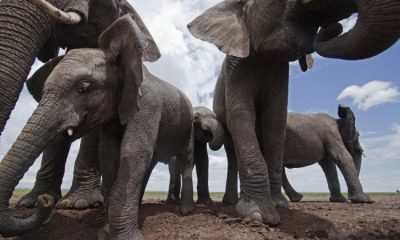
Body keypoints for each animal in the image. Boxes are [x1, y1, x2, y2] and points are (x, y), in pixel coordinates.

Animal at [188, 0, 400, 225]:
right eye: (357, 134)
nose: (334, 27)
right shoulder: (235, 68)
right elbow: (242, 116)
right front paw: (260, 215)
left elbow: (276, 120)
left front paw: (279, 206)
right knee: (233, 151)